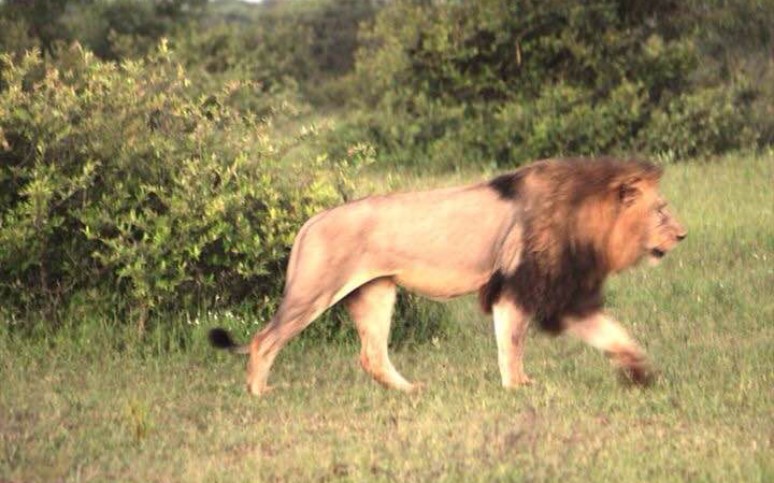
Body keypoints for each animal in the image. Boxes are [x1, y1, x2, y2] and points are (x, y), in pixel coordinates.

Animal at [209, 157, 688, 396]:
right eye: (661, 210)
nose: (683, 234)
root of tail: (311, 220)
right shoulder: (516, 286)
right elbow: (512, 343)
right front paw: (518, 388)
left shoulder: (565, 295)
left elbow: (615, 335)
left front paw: (642, 375)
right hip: (314, 290)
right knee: (264, 339)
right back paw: (258, 393)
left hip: (375, 293)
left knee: (372, 355)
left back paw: (410, 391)